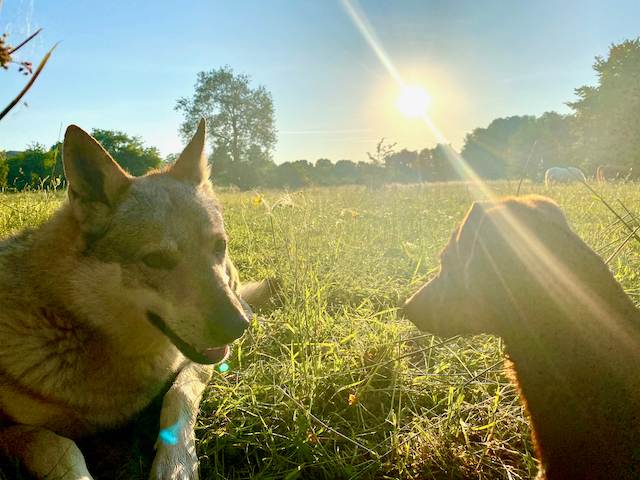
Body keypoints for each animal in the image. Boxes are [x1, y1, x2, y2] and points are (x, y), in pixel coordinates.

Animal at [0, 120, 272, 480]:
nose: (237, 327)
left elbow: (178, 393)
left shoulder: (199, 364)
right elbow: (55, 444)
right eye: (155, 260)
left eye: (219, 246)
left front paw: (177, 464)